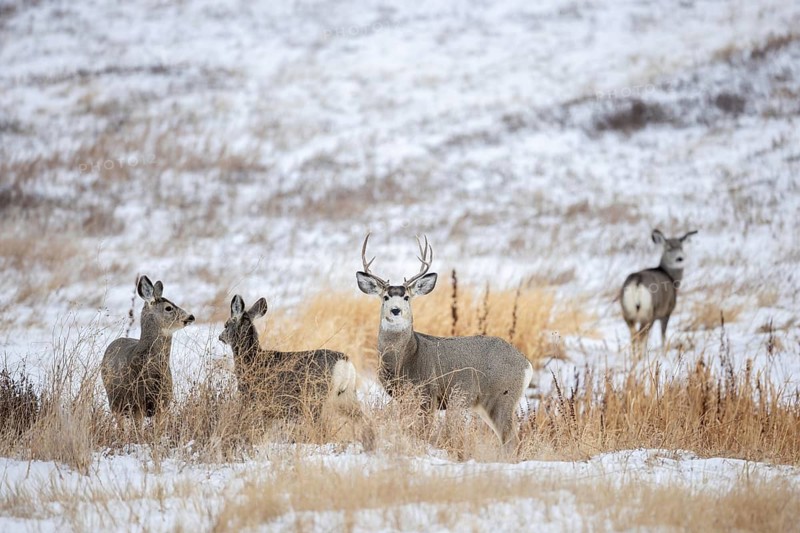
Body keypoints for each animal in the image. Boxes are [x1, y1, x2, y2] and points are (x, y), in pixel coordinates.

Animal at [101, 275, 194, 434]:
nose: (191, 316)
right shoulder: (137, 403)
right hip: (114, 402)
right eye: (168, 308)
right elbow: (138, 430)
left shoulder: (163, 403)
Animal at [218, 294, 374, 450]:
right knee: (362, 419)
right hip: (347, 396)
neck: (251, 359)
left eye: (226, 325)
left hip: (315, 398)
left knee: (321, 428)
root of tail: (345, 363)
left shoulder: (253, 399)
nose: (220, 337)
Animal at [356, 233, 533, 454]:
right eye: (386, 296)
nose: (395, 310)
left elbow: (423, 432)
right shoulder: (402, 398)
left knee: (511, 440)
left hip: (502, 396)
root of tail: (526, 364)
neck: (407, 358)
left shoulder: (427, 394)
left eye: (406, 297)